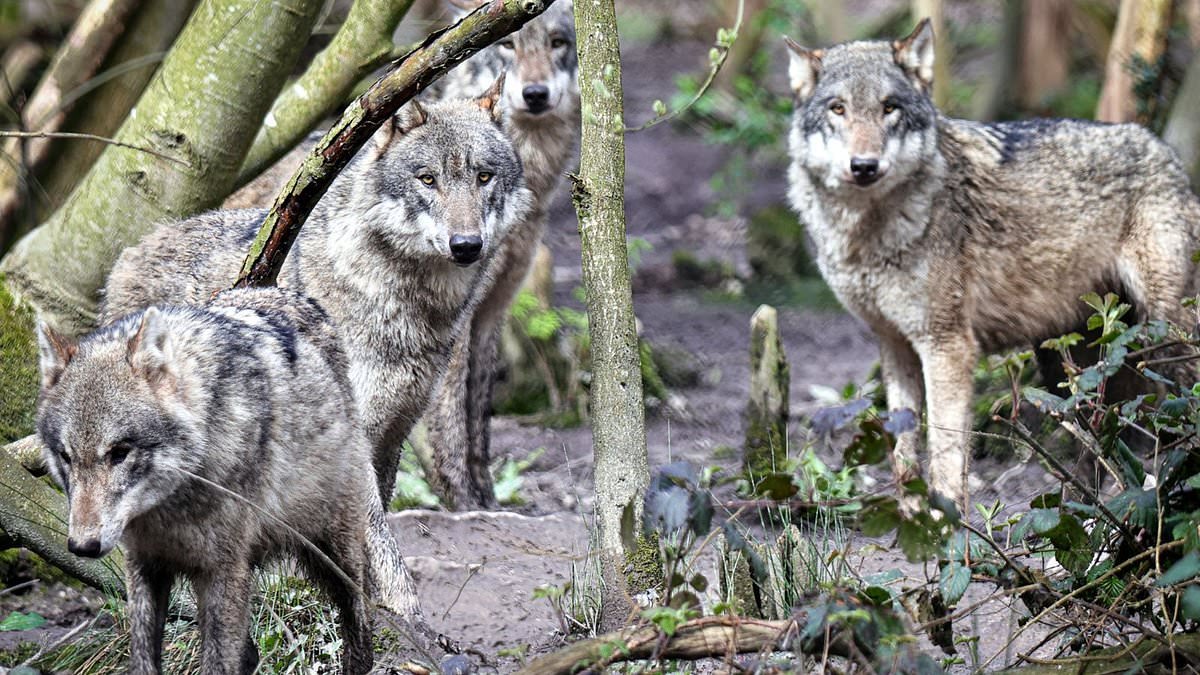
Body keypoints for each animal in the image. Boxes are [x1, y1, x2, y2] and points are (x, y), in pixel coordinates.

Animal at [37, 287, 381, 674]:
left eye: (119, 452)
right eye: (66, 456)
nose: (83, 546)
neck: (171, 507)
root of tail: (289, 293)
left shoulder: (222, 570)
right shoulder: (145, 565)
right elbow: (143, 657)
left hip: (332, 552)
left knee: (361, 623)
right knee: (250, 653)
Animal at [421, 0, 580, 509]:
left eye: (557, 42)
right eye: (507, 44)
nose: (535, 93)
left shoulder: (492, 310)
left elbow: (479, 416)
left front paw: (488, 500)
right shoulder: (451, 320)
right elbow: (449, 418)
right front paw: (461, 504)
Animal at [785, 20, 1200, 511]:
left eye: (889, 108)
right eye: (838, 108)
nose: (864, 166)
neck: (869, 232)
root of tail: (1167, 153)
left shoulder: (947, 345)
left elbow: (945, 453)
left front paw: (946, 523)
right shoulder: (895, 344)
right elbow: (904, 458)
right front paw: (909, 522)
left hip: (1165, 334)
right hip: (1069, 365)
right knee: (1106, 446)